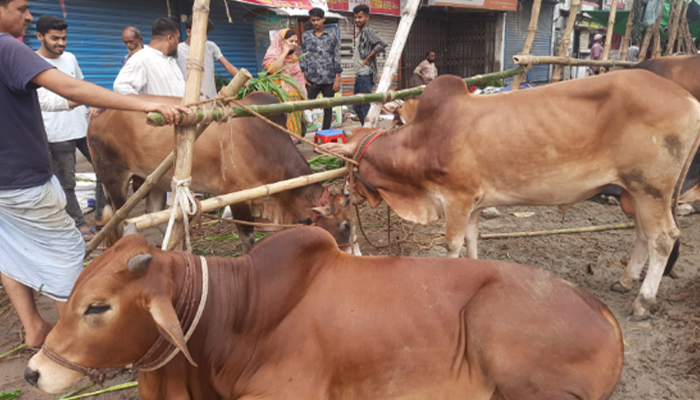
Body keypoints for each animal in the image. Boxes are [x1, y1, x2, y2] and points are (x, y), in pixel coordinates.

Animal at [87, 92, 358, 253]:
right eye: (345, 224)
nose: (351, 253)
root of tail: (99, 113)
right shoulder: (237, 196)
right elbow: (248, 238)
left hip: (153, 182)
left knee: (158, 216)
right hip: (115, 181)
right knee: (119, 223)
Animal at [326, 69, 700, 318]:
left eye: (347, 167)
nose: (345, 196)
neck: (423, 141)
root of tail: (689, 99)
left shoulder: (457, 200)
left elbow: (452, 246)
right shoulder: (474, 204)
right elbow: (473, 241)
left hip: (650, 189)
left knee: (663, 239)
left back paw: (643, 301)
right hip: (635, 192)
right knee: (643, 235)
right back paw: (625, 280)